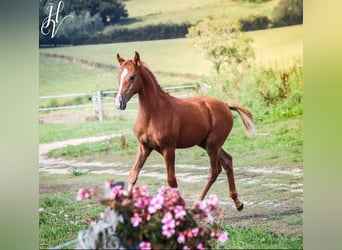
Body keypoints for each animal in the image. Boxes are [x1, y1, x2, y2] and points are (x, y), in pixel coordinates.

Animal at [113, 51, 252, 210]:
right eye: (118, 77)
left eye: (132, 77)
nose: (119, 103)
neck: (154, 112)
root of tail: (225, 104)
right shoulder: (144, 147)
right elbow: (133, 174)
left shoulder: (168, 148)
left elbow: (171, 180)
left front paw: (180, 206)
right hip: (206, 143)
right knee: (227, 161)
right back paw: (238, 203)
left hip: (213, 145)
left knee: (214, 171)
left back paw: (197, 205)